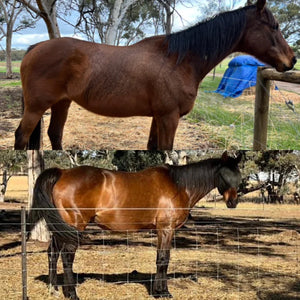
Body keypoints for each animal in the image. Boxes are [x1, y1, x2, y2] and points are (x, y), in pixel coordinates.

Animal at [14, 0, 296, 150]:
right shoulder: (169, 118)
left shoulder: (158, 117)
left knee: (55, 135)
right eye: (274, 26)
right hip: (36, 108)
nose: (292, 60)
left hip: (62, 103)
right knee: (22, 137)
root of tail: (35, 48)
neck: (180, 60)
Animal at [27, 152, 241, 300]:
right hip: (74, 226)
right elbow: (163, 259)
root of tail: (62, 172)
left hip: (61, 228)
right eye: (224, 175)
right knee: (67, 257)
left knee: (52, 253)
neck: (179, 185)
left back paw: (53, 289)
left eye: (237, 176)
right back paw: (71, 293)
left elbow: (160, 258)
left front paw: (159, 290)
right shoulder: (166, 229)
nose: (233, 202)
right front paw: (162, 293)